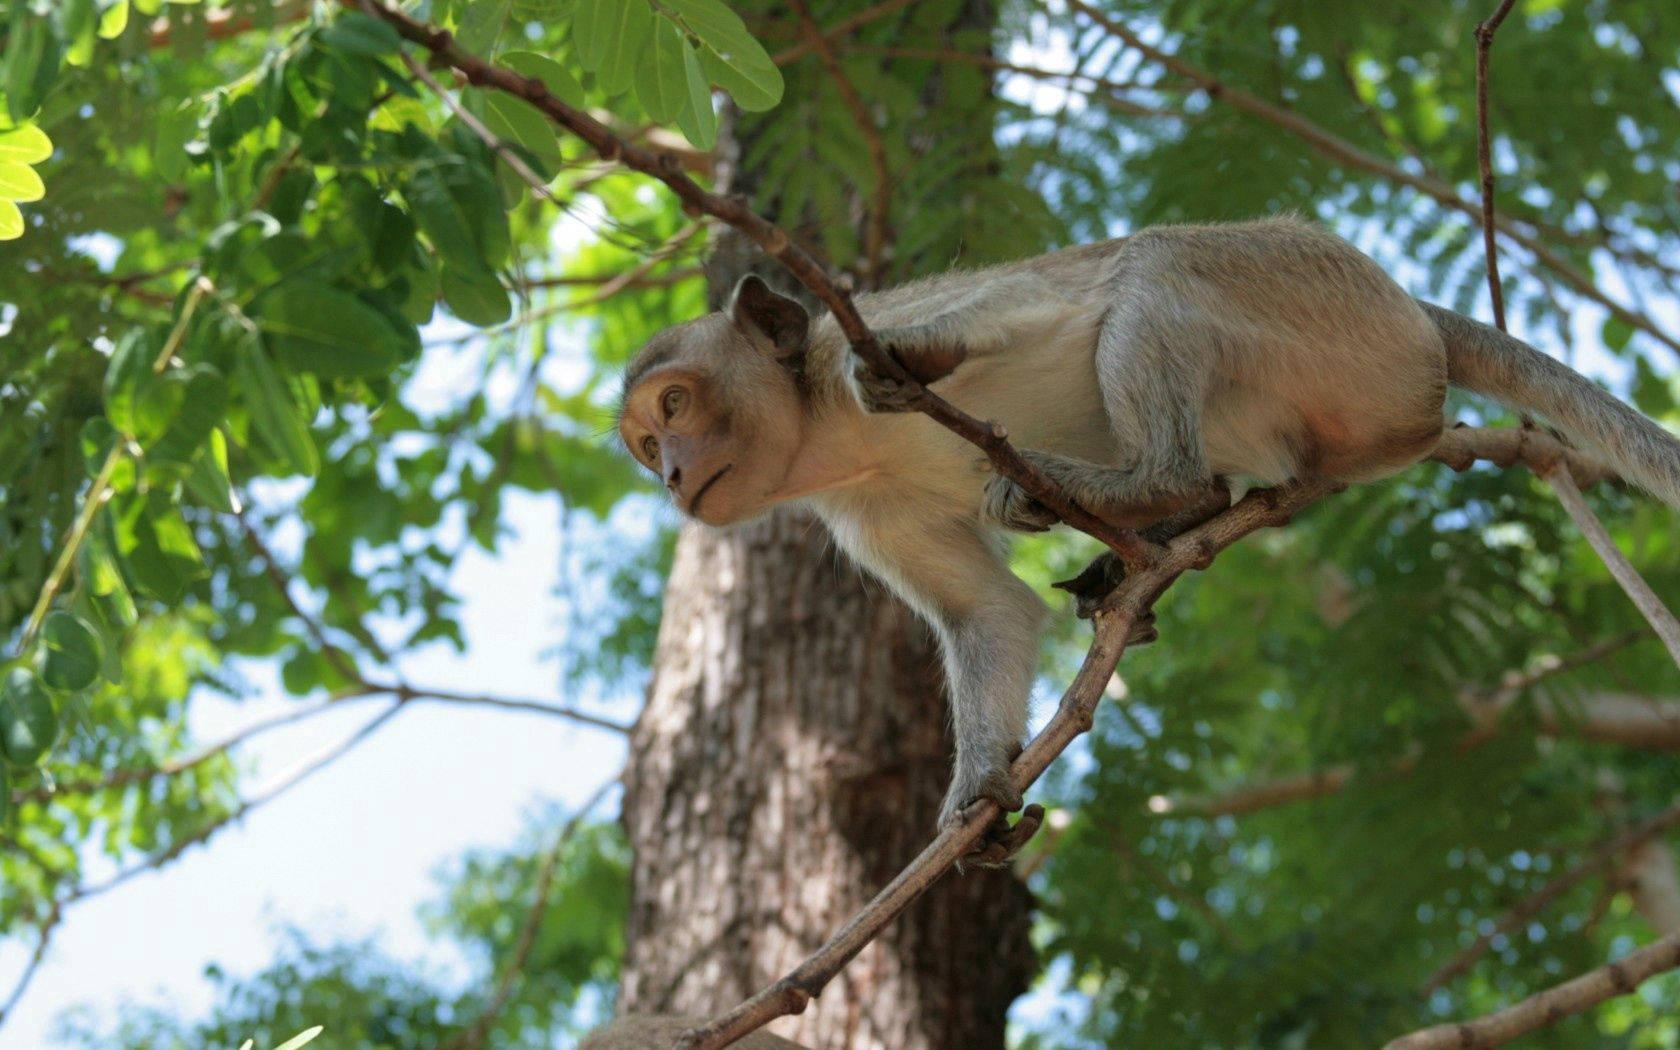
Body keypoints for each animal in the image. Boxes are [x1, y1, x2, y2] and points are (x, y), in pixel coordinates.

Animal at [617, 217, 1680, 837]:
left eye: (675, 403)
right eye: (644, 441)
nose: (670, 475)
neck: (829, 430)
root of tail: (1417, 315)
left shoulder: (849, 341)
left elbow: (1009, 311)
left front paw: (925, 351)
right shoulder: (864, 509)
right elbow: (988, 613)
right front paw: (978, 795)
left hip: (1317, 291)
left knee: (1154, 264)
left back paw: (1137, 484)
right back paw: (1174, 516)